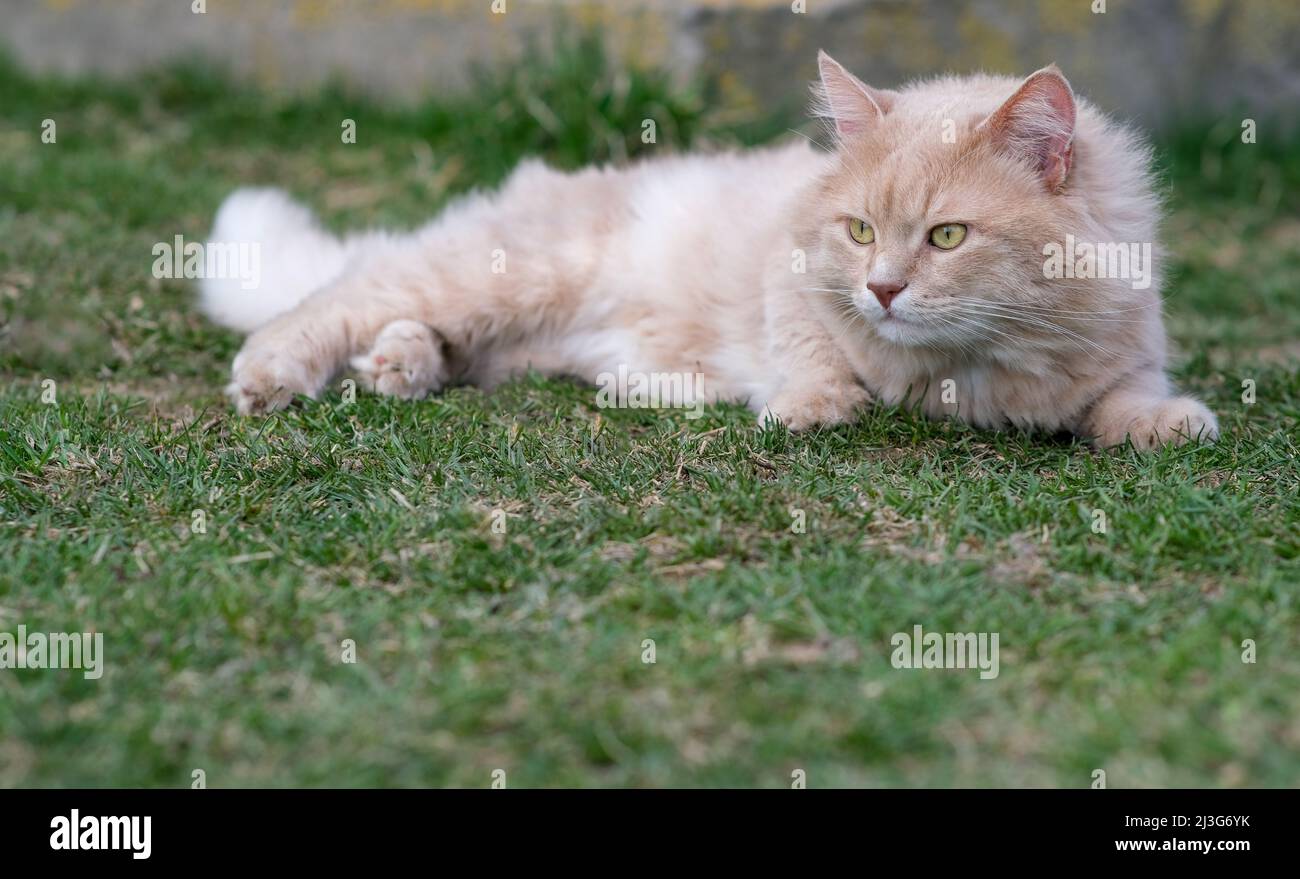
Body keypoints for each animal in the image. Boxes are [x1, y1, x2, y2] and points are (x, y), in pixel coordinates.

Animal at [200, 51, 1216, 449]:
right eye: (858, 231)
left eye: (947, 236)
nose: (885, 290)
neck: (973, 370)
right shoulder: (793, 278)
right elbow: (817, 361)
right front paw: (810, 407)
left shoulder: (1125, 345)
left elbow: (1128, 394)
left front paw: (1164, 421)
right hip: (499, 277)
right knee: (341, 295)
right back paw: (276, 376)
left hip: (516, 330)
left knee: (441, 343)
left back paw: (400, 368)